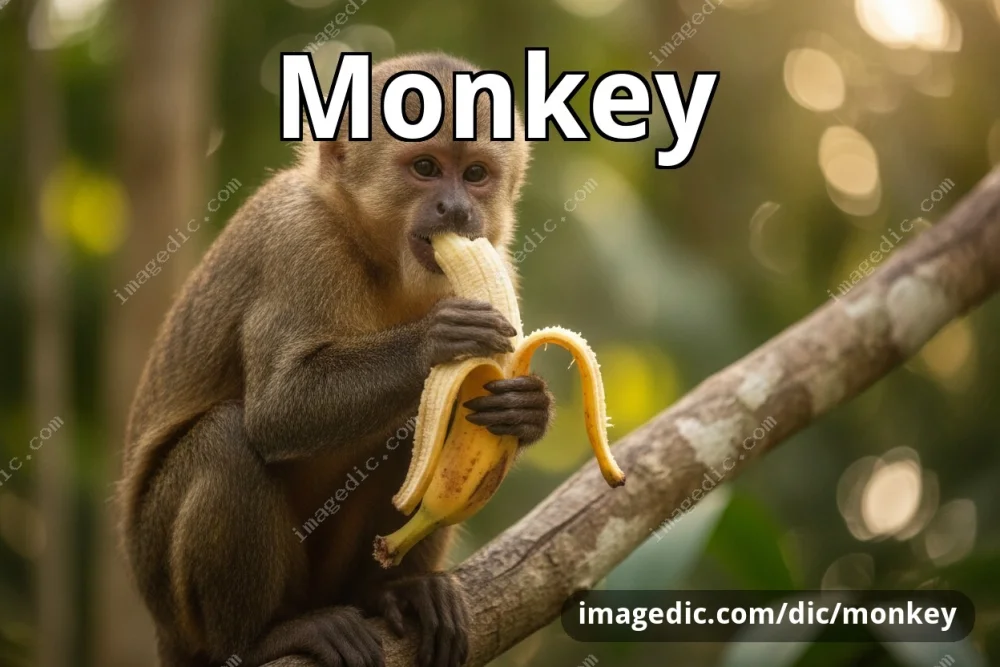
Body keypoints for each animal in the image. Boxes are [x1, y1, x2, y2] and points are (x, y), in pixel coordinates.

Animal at [118, 53, 552, 667]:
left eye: (474, 175)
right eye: (425, 167)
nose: (457, 208)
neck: (382, 258)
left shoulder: (496, 261)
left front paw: (526, 409)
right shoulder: (300, 239)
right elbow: (278, 411)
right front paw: (436, 340)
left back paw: (392, 592)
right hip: (168, 593)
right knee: (225, 439)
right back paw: (259, 639)